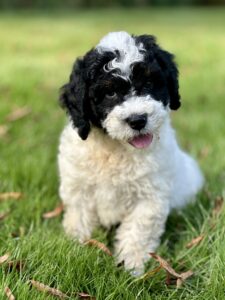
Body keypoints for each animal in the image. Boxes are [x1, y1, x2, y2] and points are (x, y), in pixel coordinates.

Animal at [57, 31, 203, 276]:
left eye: (149, 83)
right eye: (110, 92)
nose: (137, 120)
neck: (116, 149)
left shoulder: (149, 196)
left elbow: (138, 231)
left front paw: (130, 267)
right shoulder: (79, 188)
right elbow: (79, 218)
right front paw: (75, 249)